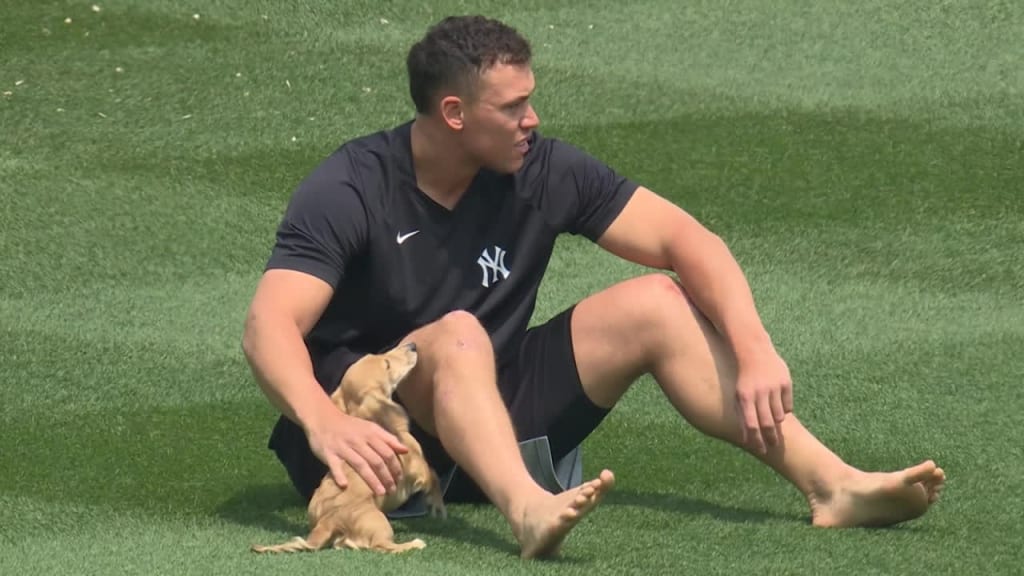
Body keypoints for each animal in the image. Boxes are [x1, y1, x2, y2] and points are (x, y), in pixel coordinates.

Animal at [250, 340, 444, 553]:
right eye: (386, 364)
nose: (412, 345)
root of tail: (327, 521)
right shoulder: (419, 466)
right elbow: (433, 476)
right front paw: (438, 506)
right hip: (379, 521)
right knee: (381, 546)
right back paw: (414, 543)